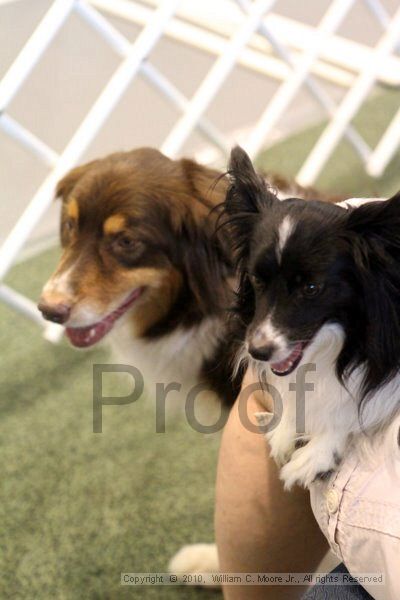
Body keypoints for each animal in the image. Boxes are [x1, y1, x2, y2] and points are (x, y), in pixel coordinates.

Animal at [223, 148, 400, 490]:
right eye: (257, 279)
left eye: (311, 288)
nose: (258, 352)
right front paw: (286, 427)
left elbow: (362, 402)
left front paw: (318, 451)